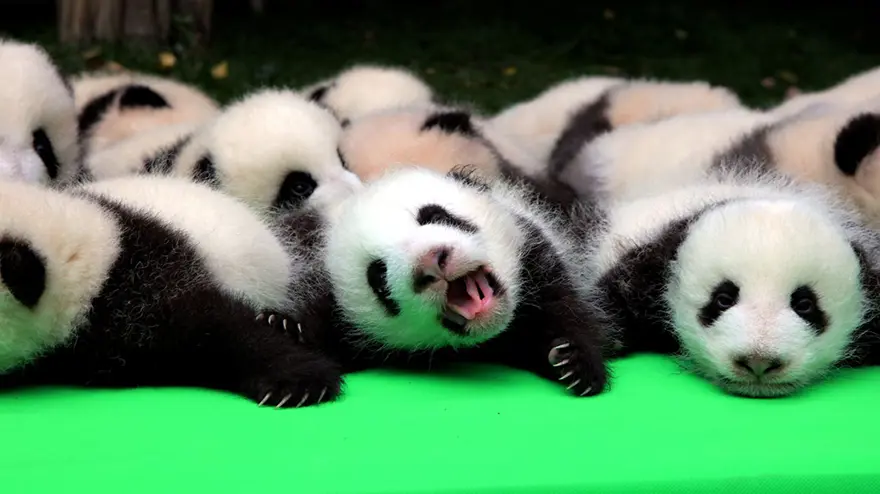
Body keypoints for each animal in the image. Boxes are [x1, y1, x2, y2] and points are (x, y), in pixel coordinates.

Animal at [259, 166, 609, 402]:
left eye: (436, 216)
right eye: (378, 277)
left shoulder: (536, 257)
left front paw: (574, 361)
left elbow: (566, 310)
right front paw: (286, 328)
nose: (432, 262)